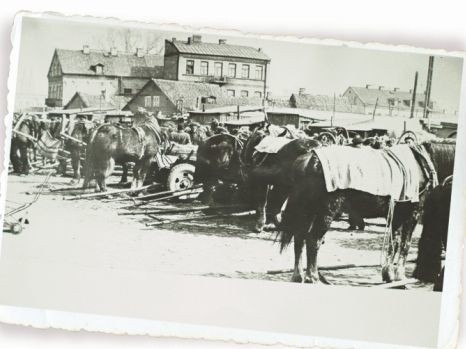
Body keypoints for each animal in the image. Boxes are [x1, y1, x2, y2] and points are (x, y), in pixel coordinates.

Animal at [276, 139, 456, 282]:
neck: (423, 163)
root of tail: (309, 159)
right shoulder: (413, 214)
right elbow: (405, 244)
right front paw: (400, 275)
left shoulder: (397, 215)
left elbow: (395, 242)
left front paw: (389, 274)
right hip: (326, 212)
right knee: (313, 240)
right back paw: (312, 276)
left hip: (308, 211)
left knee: (299, 238)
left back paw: (298, 275)